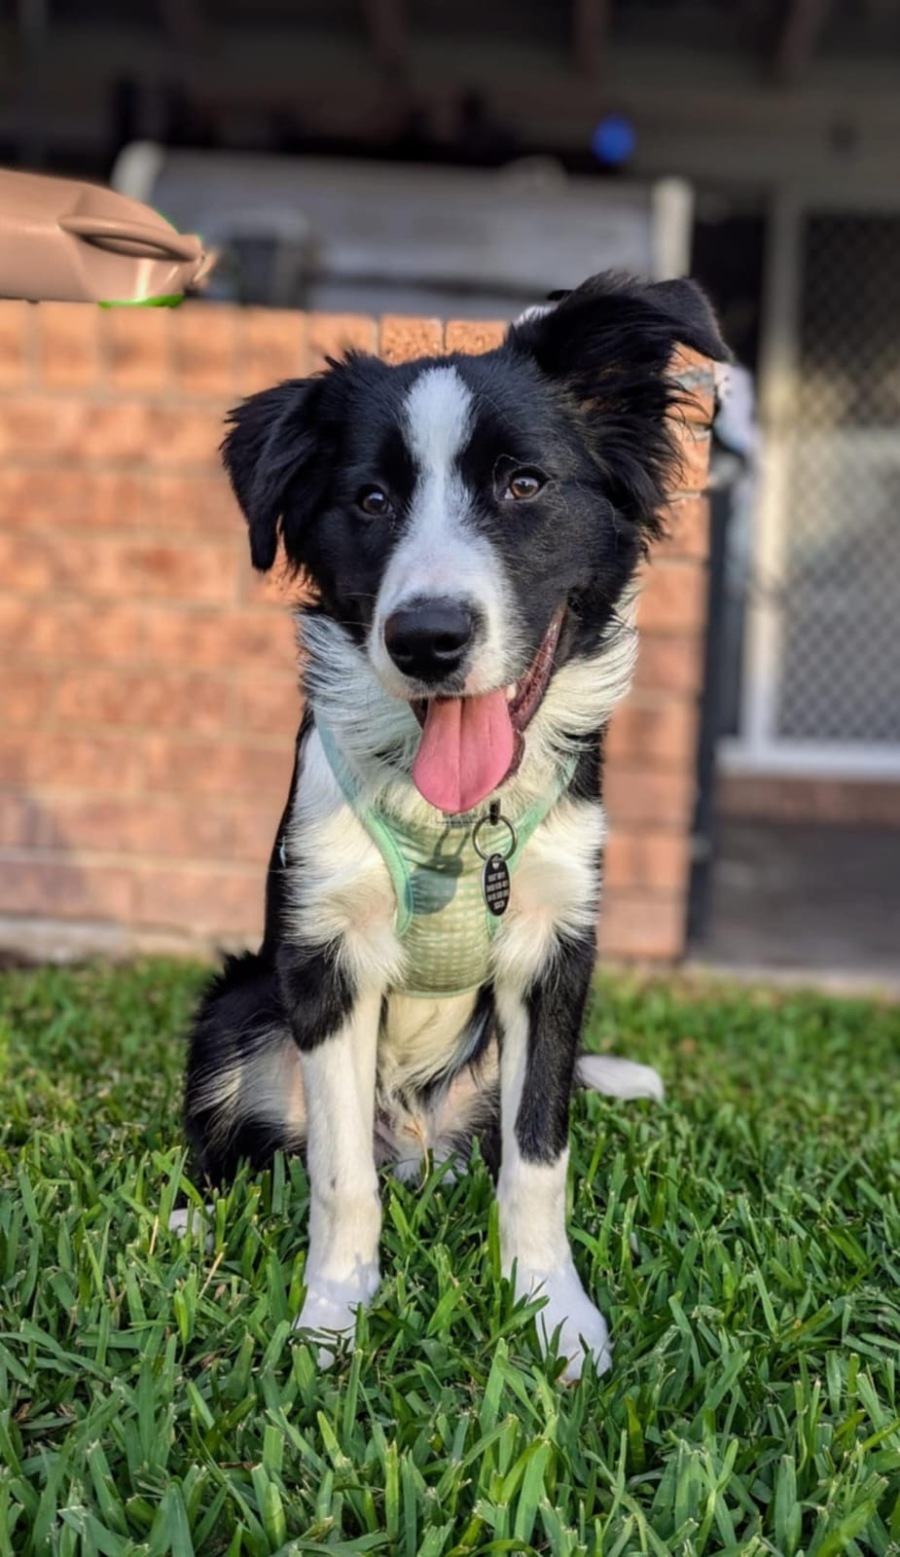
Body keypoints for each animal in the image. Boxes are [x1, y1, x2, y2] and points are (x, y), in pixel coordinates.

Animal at [182, 271, 728, 1380]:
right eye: (371, 500)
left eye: (524, 484)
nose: (426, 638)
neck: (462, 823)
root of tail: (416, 1143)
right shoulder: (321, 956)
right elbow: (338, 1175)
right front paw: (334, 1315)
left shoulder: (556, 953)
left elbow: (539, 1160)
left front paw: (553, 1311)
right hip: (236, 1005)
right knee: (257, 1153)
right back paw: (190, 1222)